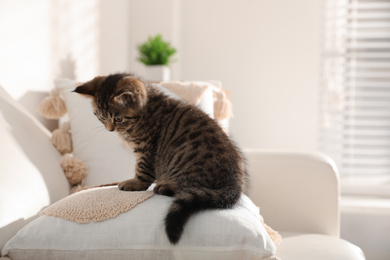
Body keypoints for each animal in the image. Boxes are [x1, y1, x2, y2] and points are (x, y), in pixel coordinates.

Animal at [74, 72, 248, 244]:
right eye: (101, 117)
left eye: (118, 118)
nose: (110, 129)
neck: (145, 112)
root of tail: (235, 185)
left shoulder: (147, 151)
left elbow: (142, 172)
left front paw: (135, 183)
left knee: (189, 188)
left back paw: (165, 186)